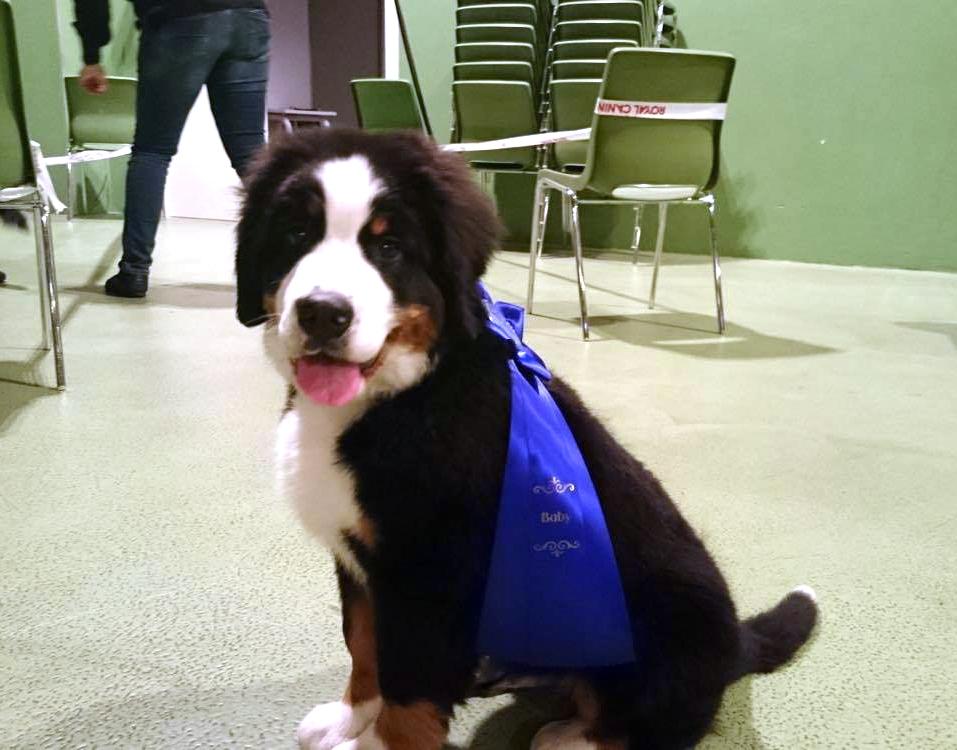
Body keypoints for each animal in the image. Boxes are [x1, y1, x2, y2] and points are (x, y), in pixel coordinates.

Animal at [233, 131, 816, 750]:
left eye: (388, 249)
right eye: (296, 234)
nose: (323, 313)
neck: (398, 395)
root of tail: (735, 645)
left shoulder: (428, 577)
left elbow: (409, 686)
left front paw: (378, 742)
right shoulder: (361, 558)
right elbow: (363, 644)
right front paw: (348, 717)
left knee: (655, 724)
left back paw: (570, 737)